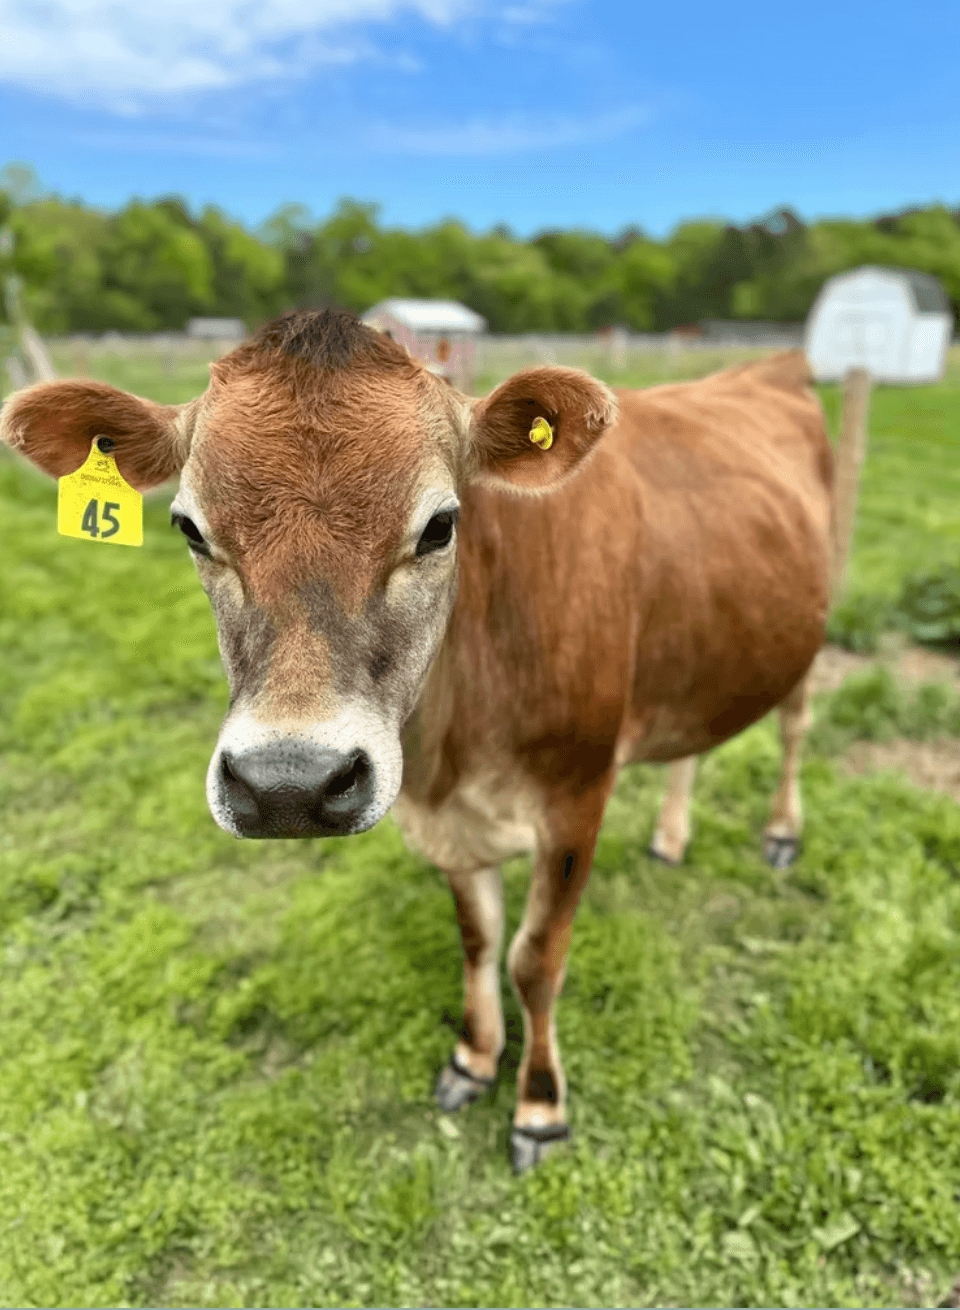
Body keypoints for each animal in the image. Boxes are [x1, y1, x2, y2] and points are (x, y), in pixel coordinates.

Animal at [1, 311, 834, 1172]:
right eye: (190, 529)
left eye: (439, 525)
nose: (289, 784)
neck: (457, 746)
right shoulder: (445, 821)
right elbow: (478, 938)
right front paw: (473, 1057)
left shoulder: (577, 794)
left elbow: (536, 957)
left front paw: (540, 1106)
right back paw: (671, 837)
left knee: (796, 726)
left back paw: (781, 831)